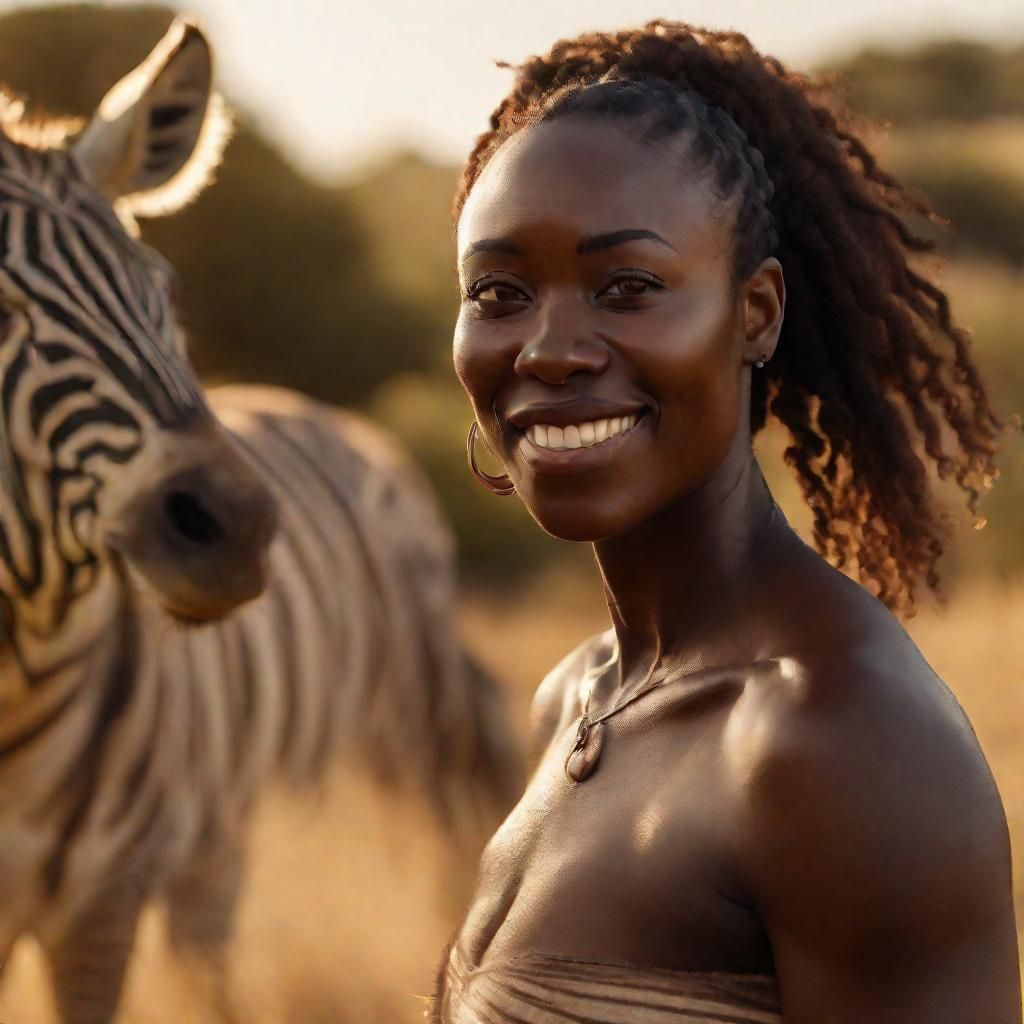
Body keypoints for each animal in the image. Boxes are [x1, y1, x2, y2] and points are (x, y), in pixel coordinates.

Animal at [0, 17, 520, 1024]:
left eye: (162, 291)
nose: (236, 526)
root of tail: (312, 409)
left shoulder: (101, 899)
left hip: (408, 724)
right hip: (225, 810)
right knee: (209, 948)